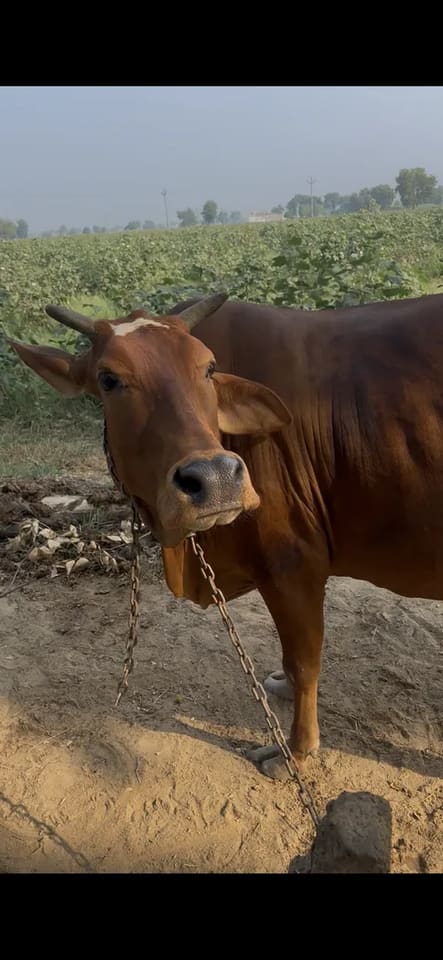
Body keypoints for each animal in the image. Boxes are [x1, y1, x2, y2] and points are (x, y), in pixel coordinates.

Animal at [9, 290, 443, 780]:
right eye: (108, 379)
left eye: (208, 368)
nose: (215, 479)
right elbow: (294, 661)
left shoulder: (293, 563)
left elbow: (304, 660)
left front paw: (296, 750)